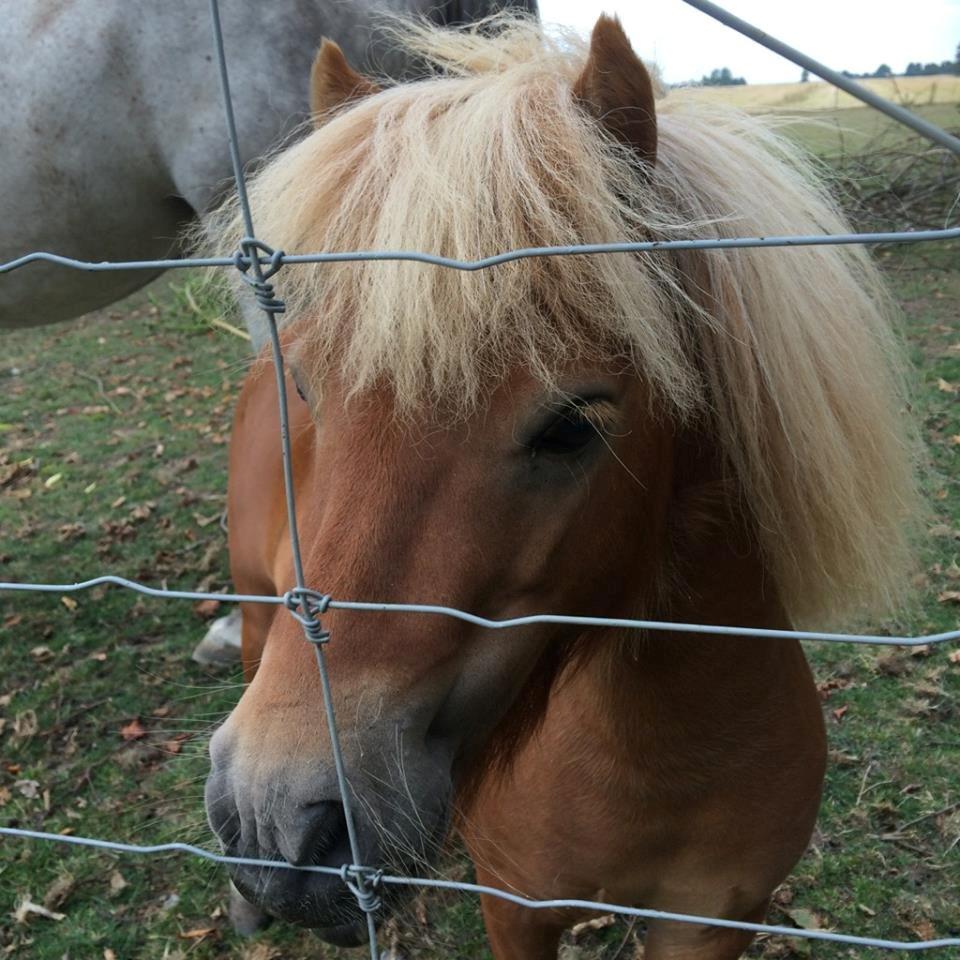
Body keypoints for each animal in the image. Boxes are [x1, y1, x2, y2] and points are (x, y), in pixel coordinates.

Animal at [202, 15, 916, 960]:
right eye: (307, 388)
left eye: (573, 425)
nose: (282, 822)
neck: (643, 761)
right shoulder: (518, 907)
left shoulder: (713, 918)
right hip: (258, 611)